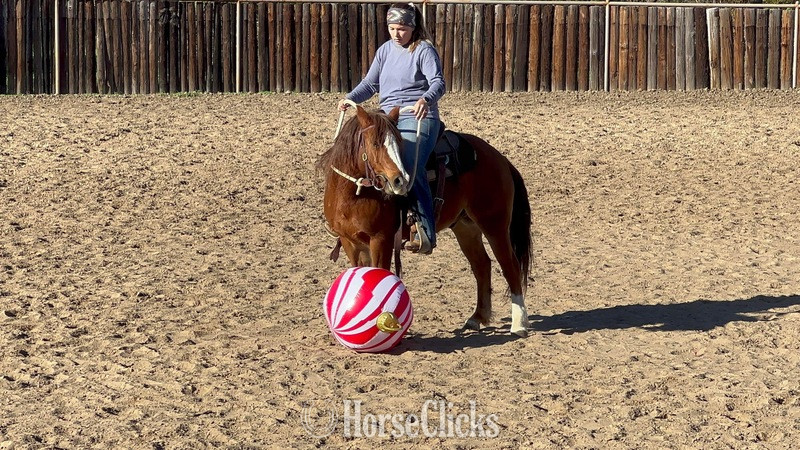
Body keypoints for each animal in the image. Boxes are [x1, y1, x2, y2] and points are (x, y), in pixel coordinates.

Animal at [316, 105, 532, 337]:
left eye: (399, 142)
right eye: (375, 143)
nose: (399, 180)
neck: (353, 195)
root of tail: (498, 157)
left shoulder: (381, 240)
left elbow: (381, 273)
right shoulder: (350, 242)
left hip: (494, 223)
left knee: (509, 264)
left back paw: (519, 323)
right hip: (466, 228)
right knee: (482, 265)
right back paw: (477, 318)